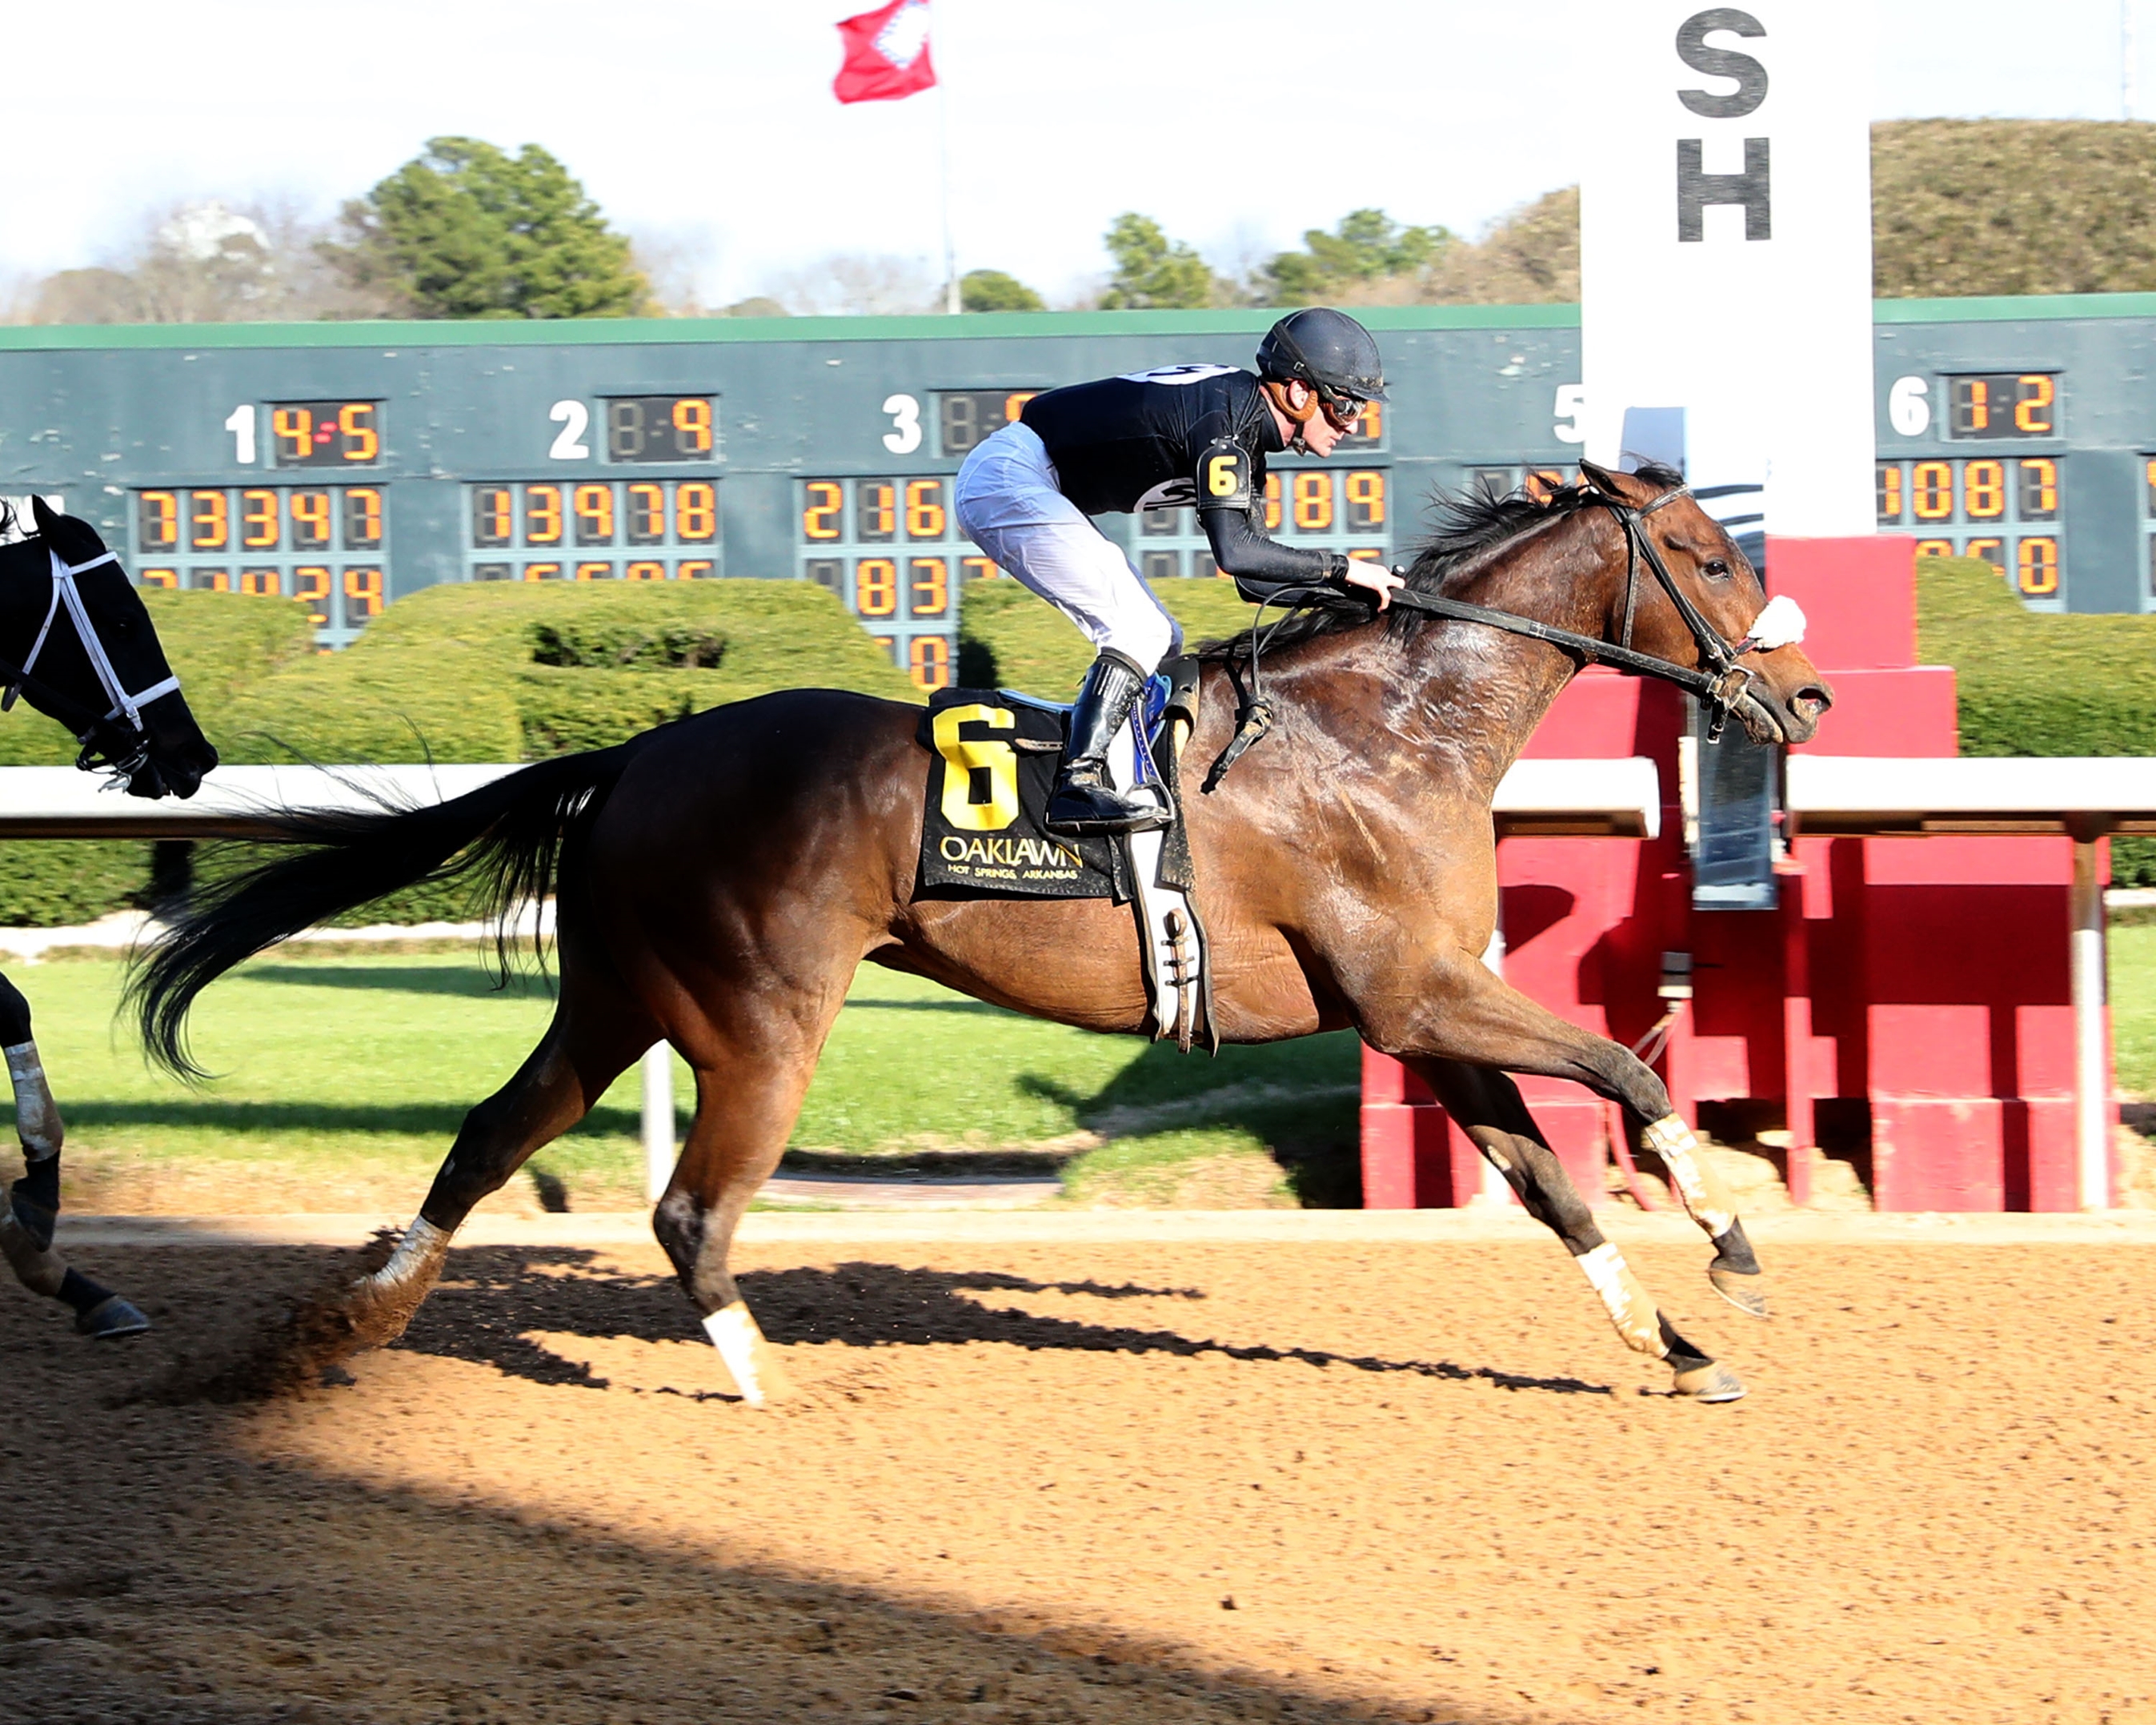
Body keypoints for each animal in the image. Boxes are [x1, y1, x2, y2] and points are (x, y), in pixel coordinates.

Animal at [130, 460, 1830, 1402]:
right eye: (1710, 556)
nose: (1801, 695)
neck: (1387, 728)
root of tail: (639, 754)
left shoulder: (1407, 1009)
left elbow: (1547, 1182)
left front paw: (1676, 1349)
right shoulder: (1417, 996)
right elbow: (1626, 1073)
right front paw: (1736, 1247)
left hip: (618, 993)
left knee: (492, 1134)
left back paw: (354, 1319)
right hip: (759, 1019)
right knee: (690, 1209)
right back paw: (762, 1382)